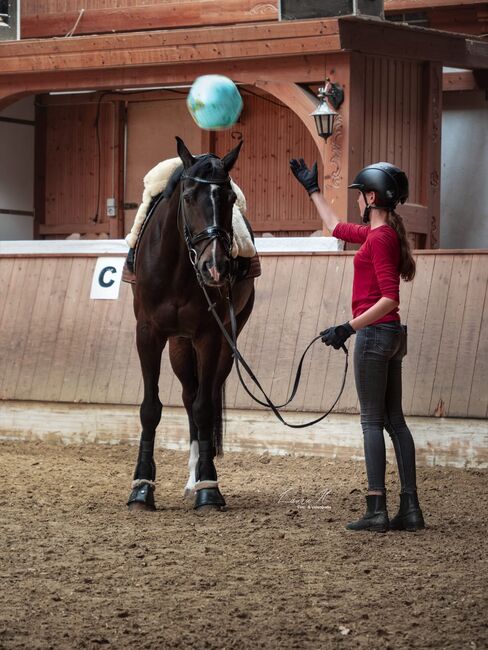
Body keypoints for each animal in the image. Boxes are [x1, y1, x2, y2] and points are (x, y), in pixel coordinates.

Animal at [127, 135, 254, 512]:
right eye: (188, 197)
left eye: (229, 198)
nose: (216, 267)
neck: (178, 269)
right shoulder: (148, 335)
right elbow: (151, 408)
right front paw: (142, 488)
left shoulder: (211, 336)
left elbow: (204, 409)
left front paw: (209, 488)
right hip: (179, 345)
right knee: (188, 395)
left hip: (225, 342)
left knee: (204, 398)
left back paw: (198, 479)